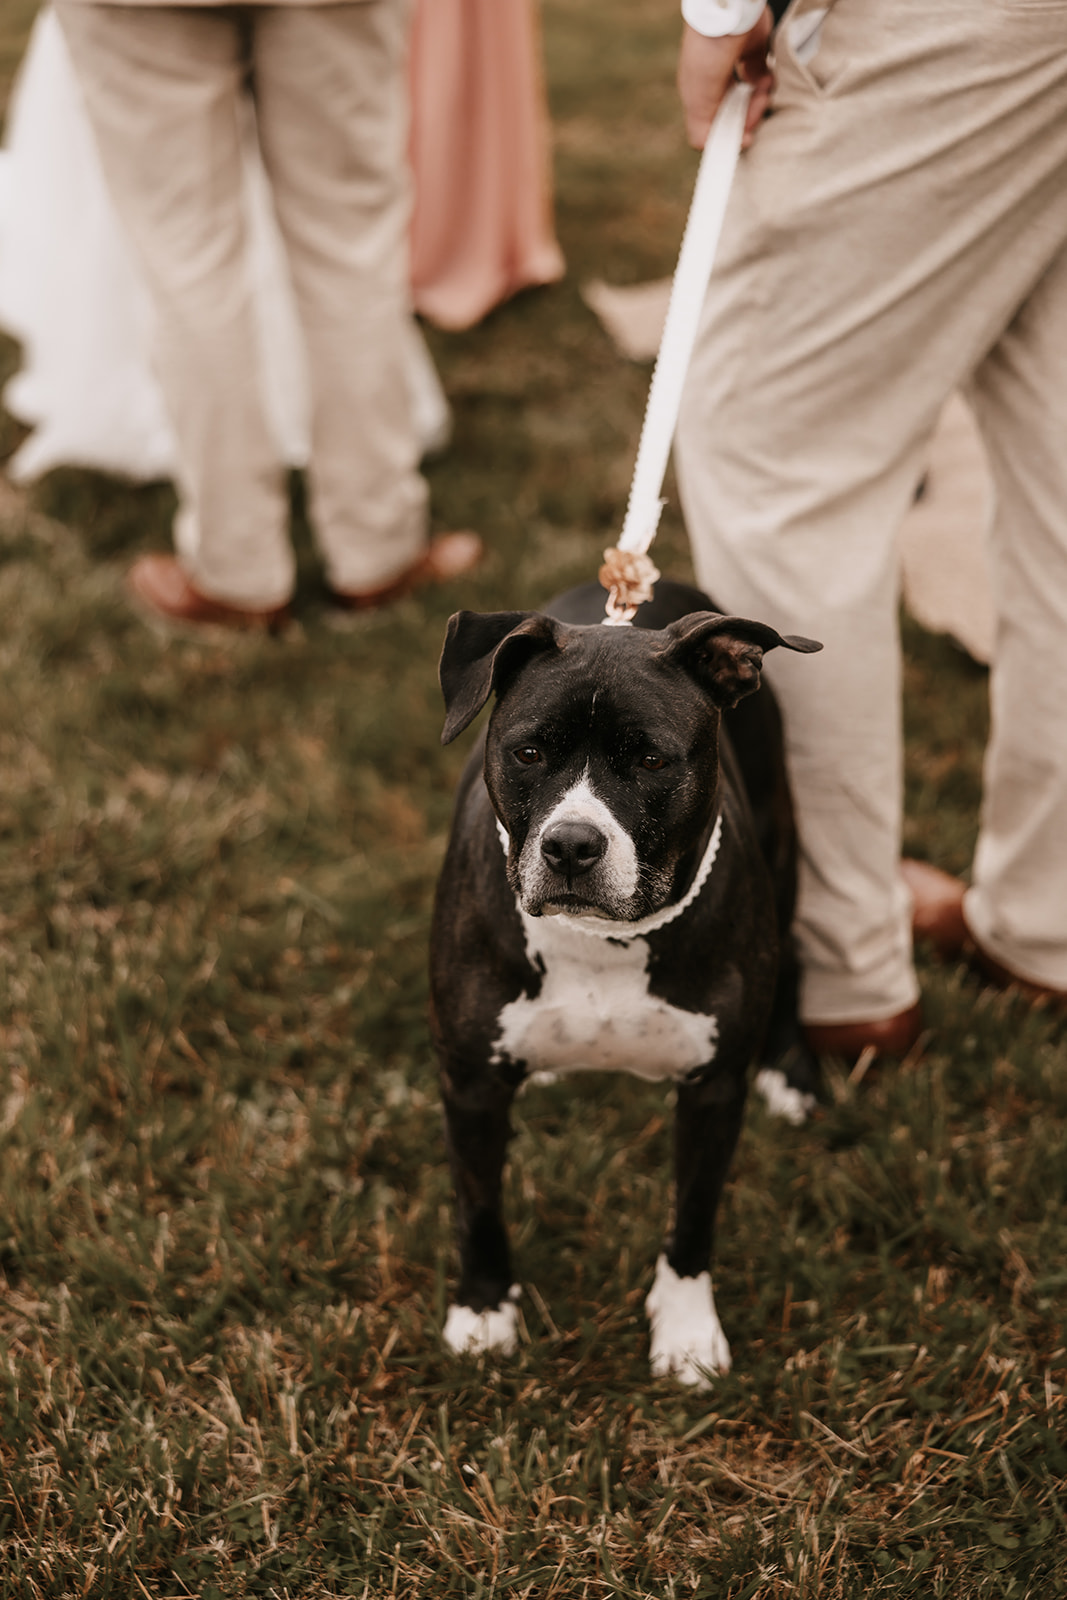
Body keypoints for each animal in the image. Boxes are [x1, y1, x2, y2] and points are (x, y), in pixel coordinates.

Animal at [428, 582, 825, 1382]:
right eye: (528, 752)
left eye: (649, 759)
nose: (570, 846)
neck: (602, 944)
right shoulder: (470, 1084)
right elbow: (478, 1207)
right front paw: (483, 1313)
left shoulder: (712, 1090)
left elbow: (693, 1219)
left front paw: (686, 1331)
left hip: (781, 842)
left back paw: (790, 1071)